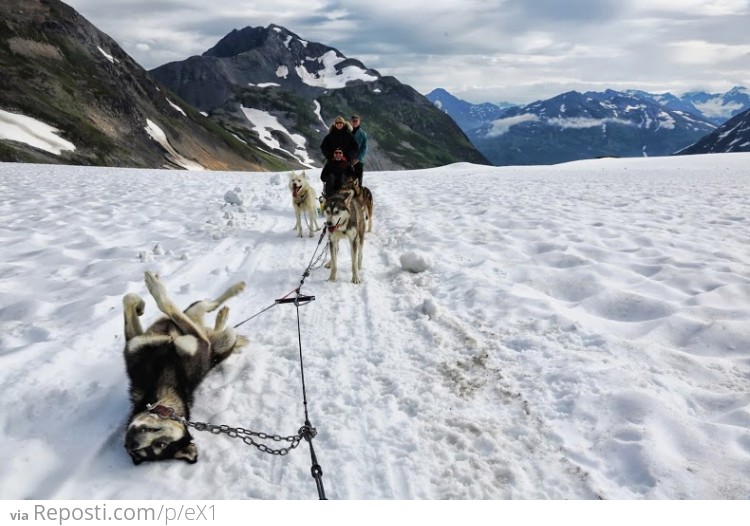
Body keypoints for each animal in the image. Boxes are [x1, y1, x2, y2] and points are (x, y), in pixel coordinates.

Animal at [122, 272, 248, 466]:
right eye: (143, 451)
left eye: (161, 444)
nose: (131, 442)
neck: (159, 385)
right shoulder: (135, 343)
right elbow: (128, 299)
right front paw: (140, 305)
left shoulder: (198, 342)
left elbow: (163, 303)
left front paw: (152, 291)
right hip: (207, 325)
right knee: (207, 314)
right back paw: (222, 316)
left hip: (221, 335)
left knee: (208, 307)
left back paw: (233, 295)